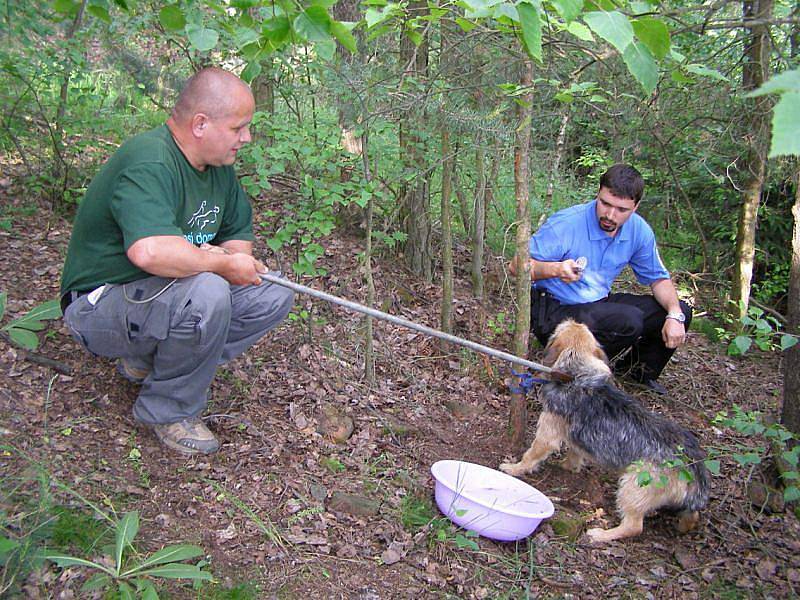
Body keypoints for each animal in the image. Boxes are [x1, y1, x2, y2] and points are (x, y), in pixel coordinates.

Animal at [500, 318, 708, 544]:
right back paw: (685, 525)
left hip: (633, 486)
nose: (572, 319)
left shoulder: (548, 431)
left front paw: (514, 468)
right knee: (692, 514)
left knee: (634, 526)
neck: (576, 374)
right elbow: (574, 454)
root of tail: (692, 464)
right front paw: (568, 467)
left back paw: (601, 534)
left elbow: (531, 455)